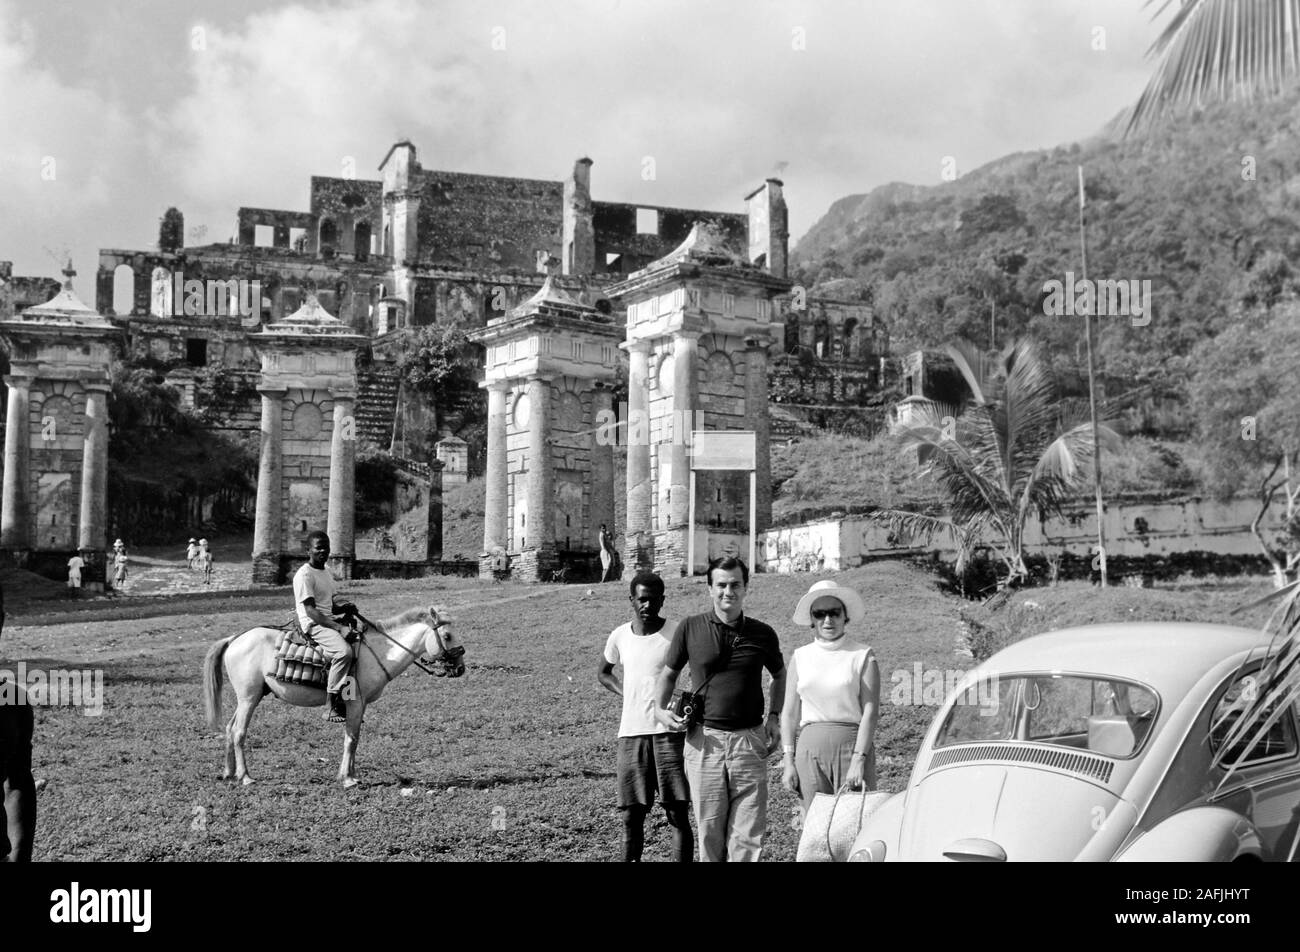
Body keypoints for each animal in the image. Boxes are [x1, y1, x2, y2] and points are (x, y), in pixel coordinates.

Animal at [200, 608, 465, 790]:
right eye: (447, 635)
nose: (461, 668)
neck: (380, 652)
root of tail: (234, 638)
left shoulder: (360, 706)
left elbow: (354, 738)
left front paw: (352, 774)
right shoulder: (355, 703)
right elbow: (351, 739)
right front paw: (347, 778)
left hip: (249, 697)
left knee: (229, 728)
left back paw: (229, 772)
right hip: (249, 697)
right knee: (239, 732)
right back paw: (245, 776)